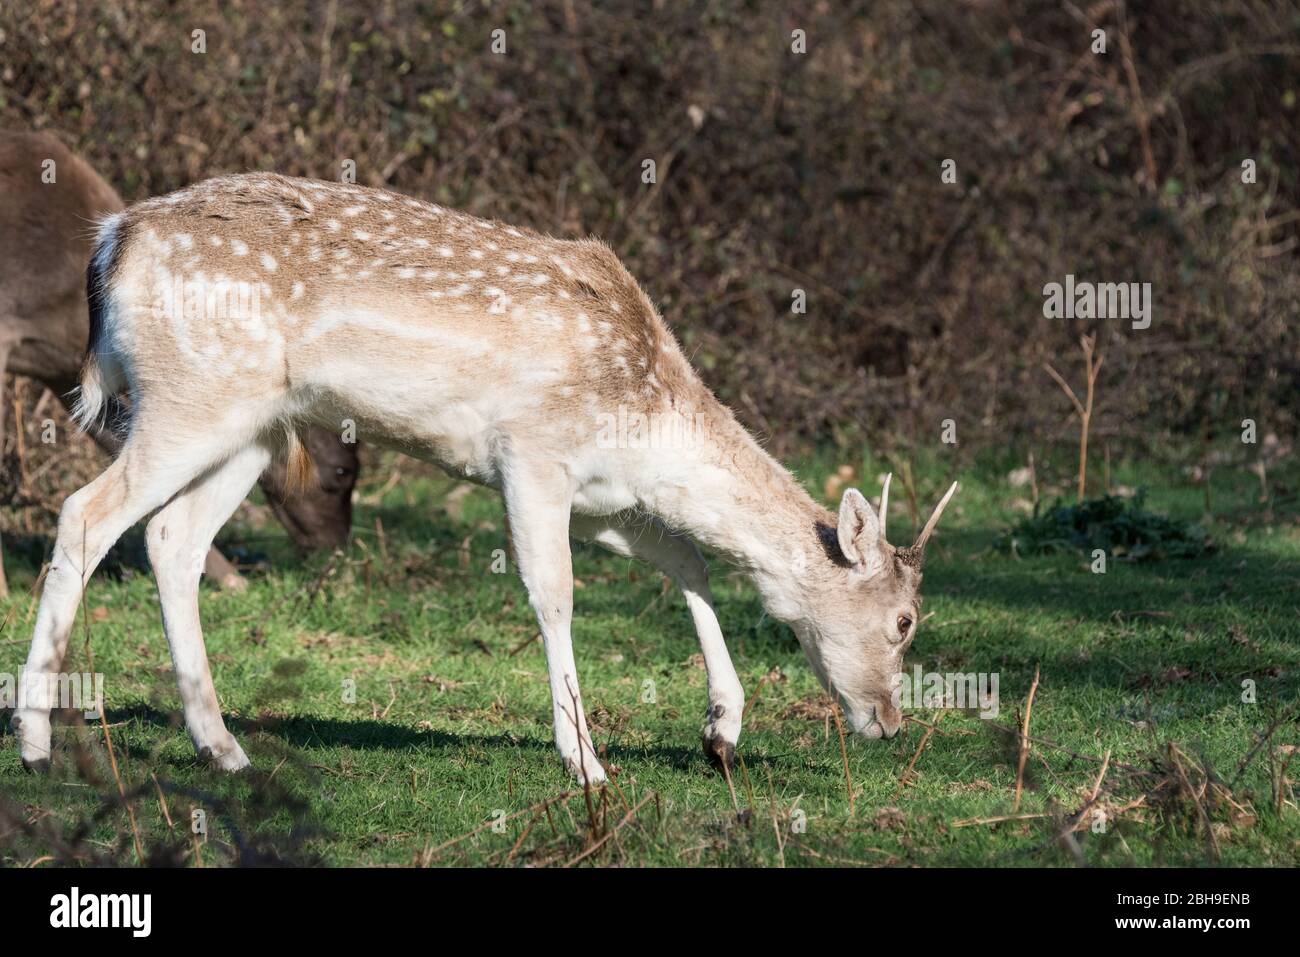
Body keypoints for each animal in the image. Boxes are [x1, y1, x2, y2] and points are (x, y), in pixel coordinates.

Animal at [15, 171, 961, 780]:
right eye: (905, 620)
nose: (889, 718)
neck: (649, 416)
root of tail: (113, 242)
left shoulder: (604, 495)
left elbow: (687, 561)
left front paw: (721, 730)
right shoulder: (533, 454)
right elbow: (555, 593)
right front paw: (587, 763)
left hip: (250, 426)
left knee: (171, 537)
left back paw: (223, 748)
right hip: (191, 397)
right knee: (85, 514)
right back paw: (35, 739)